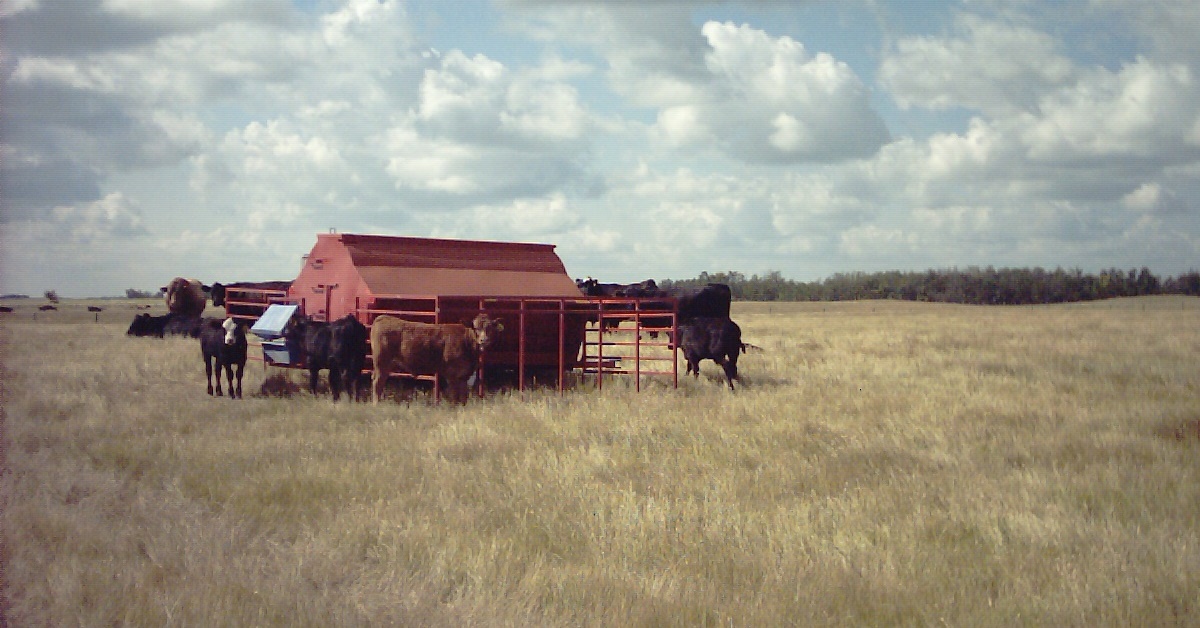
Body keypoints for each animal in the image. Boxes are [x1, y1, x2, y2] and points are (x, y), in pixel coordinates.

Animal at [374, 312, 506, 405]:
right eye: (476, 328)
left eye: (490, 328)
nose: (484, 340)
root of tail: (384, 317)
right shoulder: (452, 375)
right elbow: (455, 396)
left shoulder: (464, 376)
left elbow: (463, 397)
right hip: (381, 362)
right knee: (377, 382)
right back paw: (377, 404)